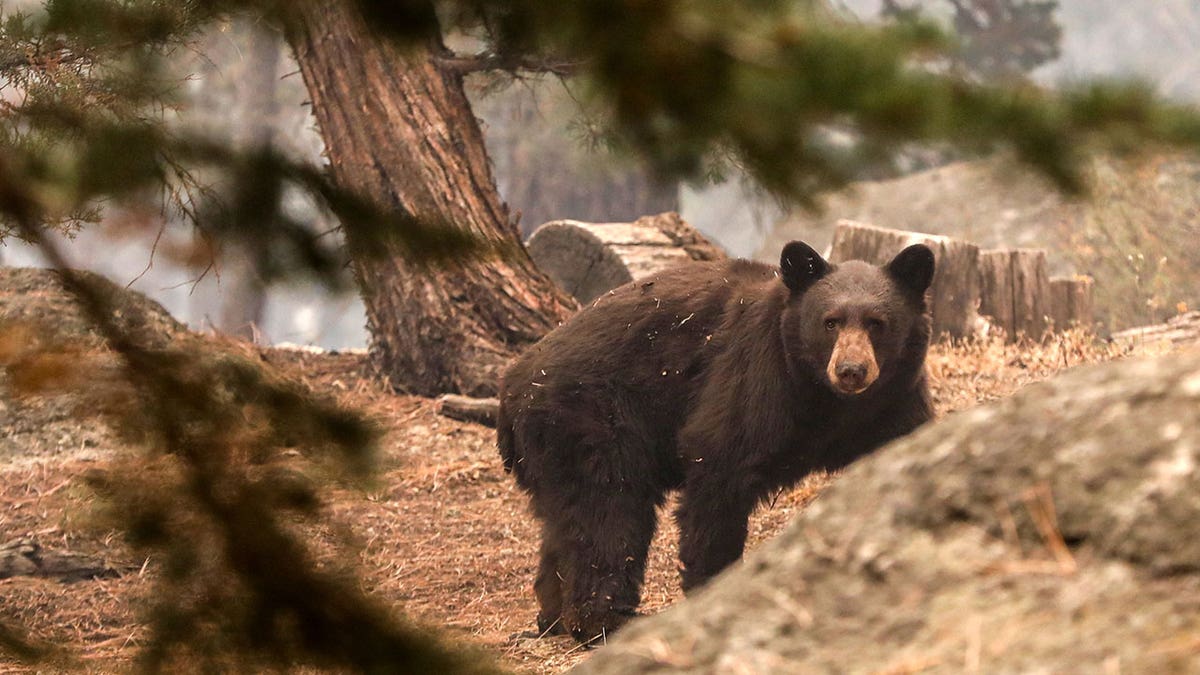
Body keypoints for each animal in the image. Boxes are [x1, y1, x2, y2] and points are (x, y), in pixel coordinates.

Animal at [496, 240, 936, 638]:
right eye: (830, 322)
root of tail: (512, 385)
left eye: (877, 323)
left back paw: (553, 616)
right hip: (591, 421)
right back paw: (604, 621)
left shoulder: (893, 403)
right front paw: (714, 588)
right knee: (608, 514)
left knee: (565, 522)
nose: (851, 370)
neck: (826, 398)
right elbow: (718, 470)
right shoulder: (756, 378)